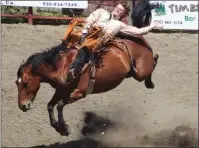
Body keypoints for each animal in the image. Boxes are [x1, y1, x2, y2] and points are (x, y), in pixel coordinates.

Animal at [15, 28, 159, 135]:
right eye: (17, 83)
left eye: (25, 83)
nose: (22, 106)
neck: (64, 65)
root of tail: (141, 39)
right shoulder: (61, 90)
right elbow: (50, 105)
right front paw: (58, 126)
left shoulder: (79, 93)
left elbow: (60, 105)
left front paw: (64, 129)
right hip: (132, 73)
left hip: (141, 72)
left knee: (155, 60)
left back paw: (150, 83)